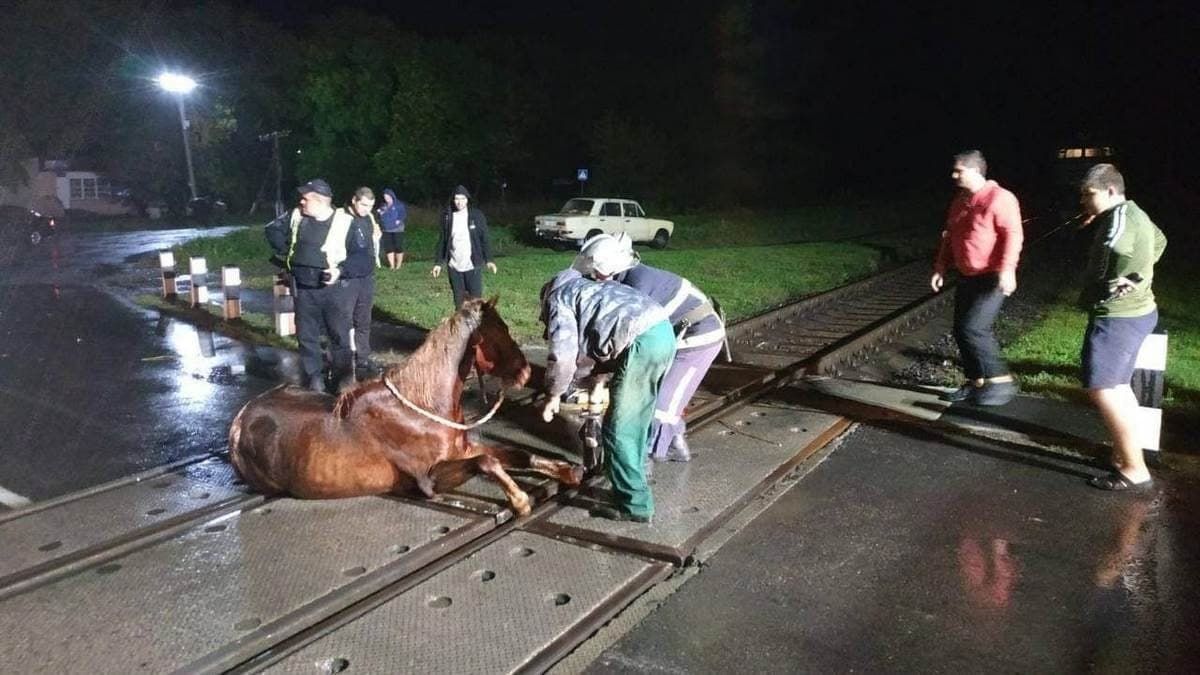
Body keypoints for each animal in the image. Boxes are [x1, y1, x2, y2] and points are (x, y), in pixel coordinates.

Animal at [226, 296, 583, 511]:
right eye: (497, 332)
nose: (526, 372)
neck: (422, 409)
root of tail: (241, 419)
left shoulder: (464, 450)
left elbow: (516, 454)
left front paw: (568, 471)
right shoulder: (427, 479)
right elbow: (487, 462)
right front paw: (520, 498)